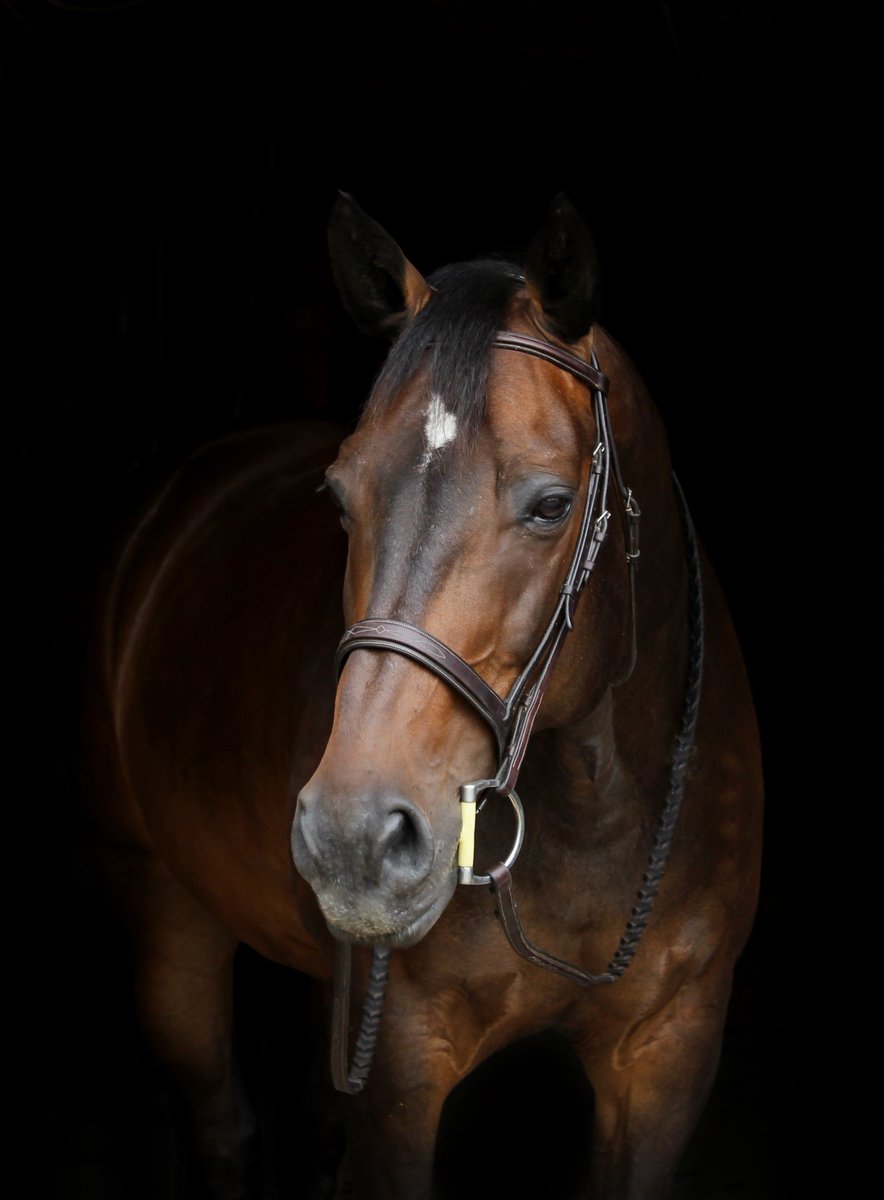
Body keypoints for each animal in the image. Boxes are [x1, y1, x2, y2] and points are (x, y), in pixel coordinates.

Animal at [75, 190, 764, 1199]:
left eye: (553, 505)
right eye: (338, 496)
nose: (353, 836)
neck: (594, 812)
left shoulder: (669, 1058)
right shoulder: (399, 1077)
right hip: (168, 919)